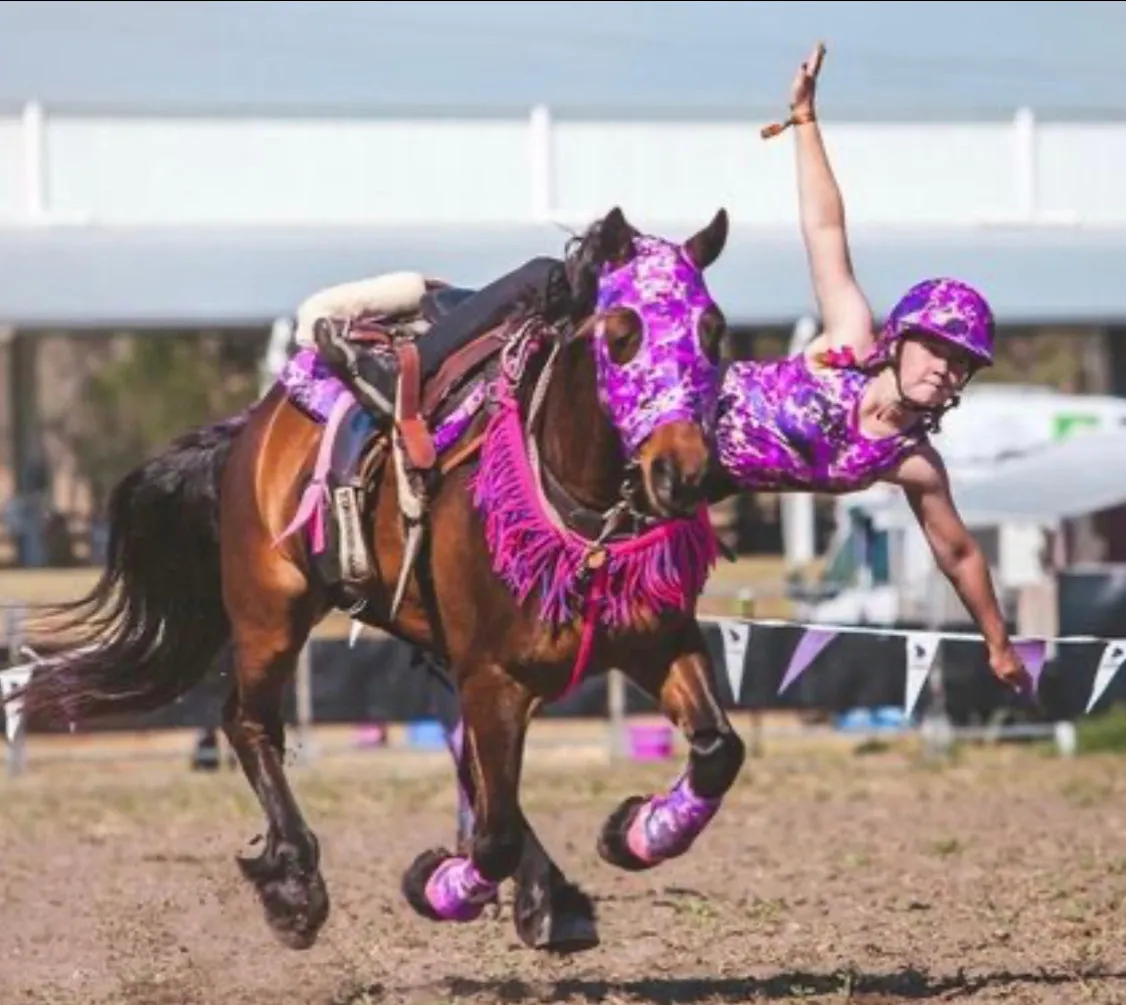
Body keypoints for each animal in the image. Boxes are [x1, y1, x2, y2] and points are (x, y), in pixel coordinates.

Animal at [10, 209, 747, 949]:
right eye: (623, 335)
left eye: (713, 331)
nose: (683, 473)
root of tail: (252, 424)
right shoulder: (493, 676)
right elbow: (494, 834)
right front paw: (437, 884)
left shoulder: (657, 639)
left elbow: (719, 751)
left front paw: (632, 833)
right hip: (271, 613)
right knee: (248, 723)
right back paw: (295, 887)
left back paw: (548, 895)